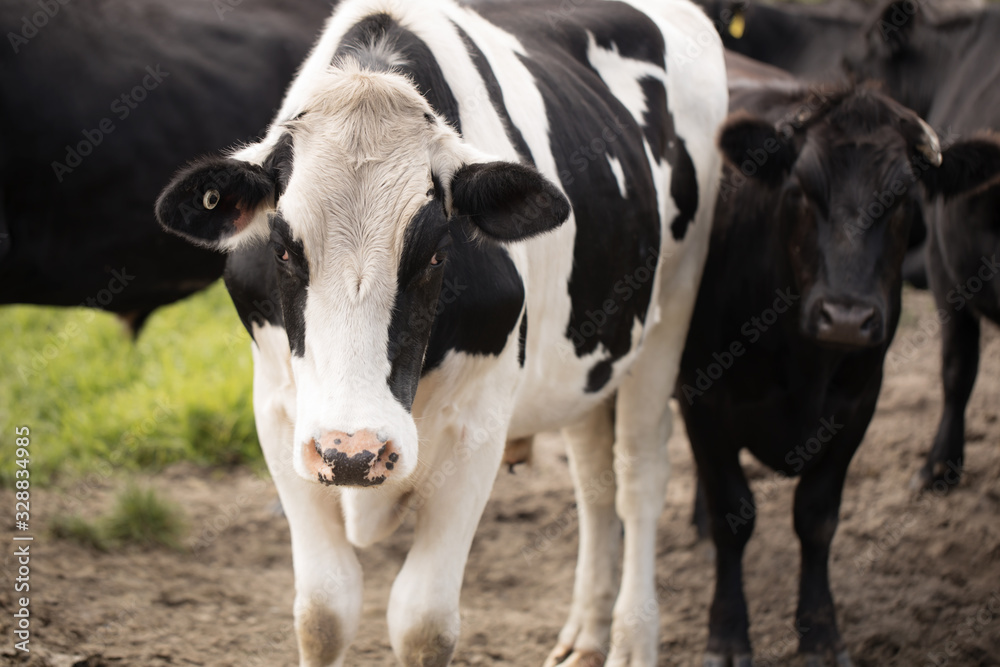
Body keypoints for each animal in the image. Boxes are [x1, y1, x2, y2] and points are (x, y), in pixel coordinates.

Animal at [154, 1, 728, 667]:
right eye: (283, 249)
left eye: (434, 254)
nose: (354, 451)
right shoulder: (280, 412)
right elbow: (323, 612)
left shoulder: (478, 426)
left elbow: (423, 622)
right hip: (590, 353)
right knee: (593, 478)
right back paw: (584, 637)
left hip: (672, 309)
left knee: (638, 474)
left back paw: (632, 640)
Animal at [676, 52, 996, 667]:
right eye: (801, 188)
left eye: (902, 199)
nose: (846, 317)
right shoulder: (702, 394)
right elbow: (734, 514)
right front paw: (727, 634)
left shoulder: (857, 403)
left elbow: (817, 517)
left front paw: (821, 634)